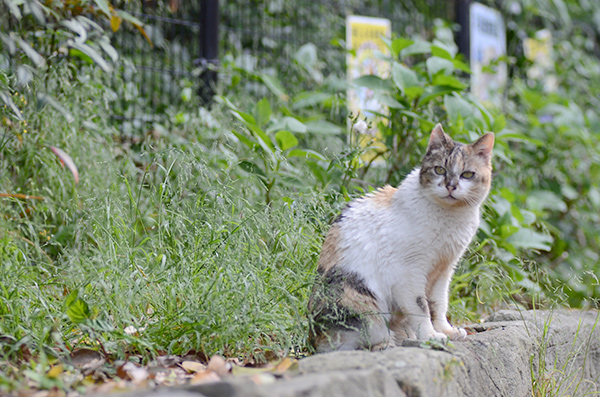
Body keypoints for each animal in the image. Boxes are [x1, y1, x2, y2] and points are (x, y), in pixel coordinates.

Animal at [310, 124, 492, 352]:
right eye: (439, 170)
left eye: (467, 174)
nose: (451, 186)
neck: (451, 217)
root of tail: (311, 338)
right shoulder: (408, 272)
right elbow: (421, 307)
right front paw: (431, 336)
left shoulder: (444, 270)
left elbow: (439, 303)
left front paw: (446, 330)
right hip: (358, 298)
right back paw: (388, 343)